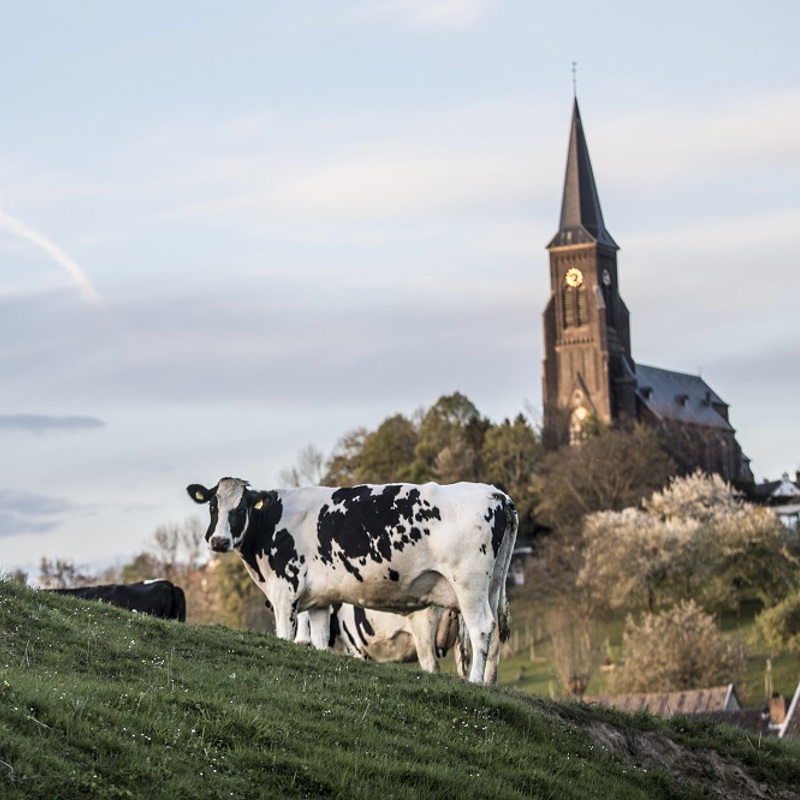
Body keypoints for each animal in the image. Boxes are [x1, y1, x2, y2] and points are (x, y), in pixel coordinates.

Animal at [186, 478, 520, 684]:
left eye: (241, 508)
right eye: (213, 507)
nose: (218, 541)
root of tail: (497, 494)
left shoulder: (284, 592)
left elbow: (285, 636)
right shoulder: (319, 602)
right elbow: (319, 641)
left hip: (468, 584)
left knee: (481, 628)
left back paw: (475, 682)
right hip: (492, 584)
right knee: (494, 637)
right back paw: (488, 684)